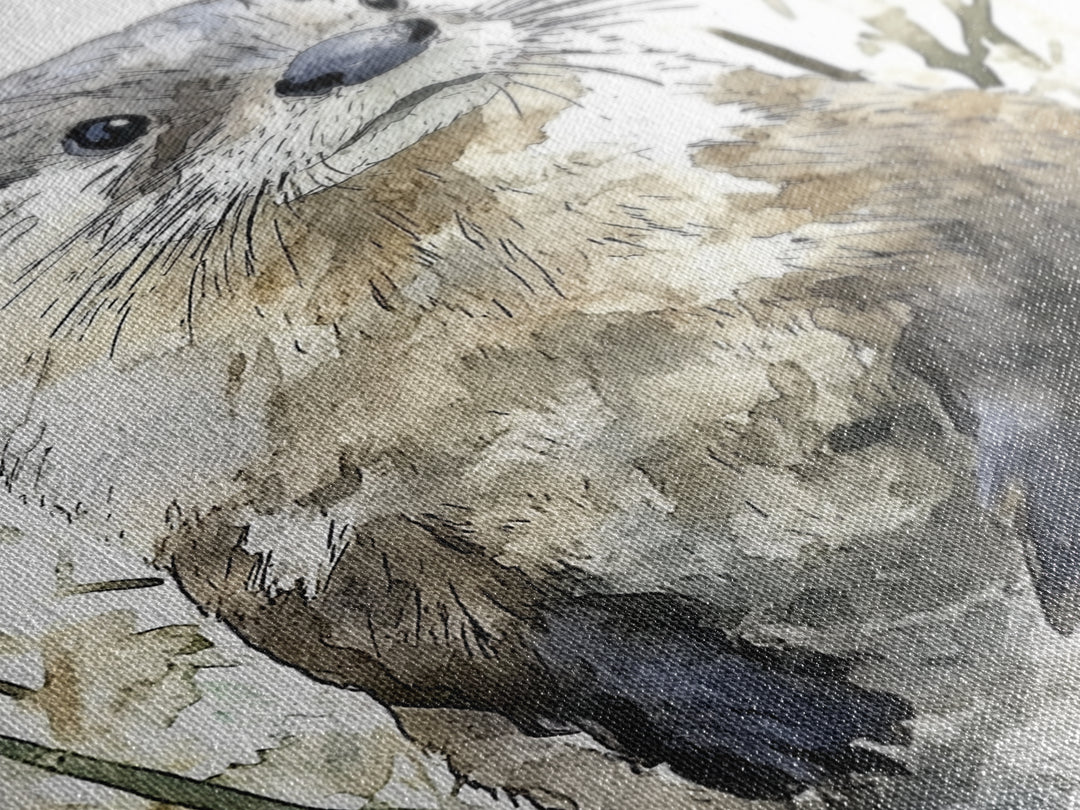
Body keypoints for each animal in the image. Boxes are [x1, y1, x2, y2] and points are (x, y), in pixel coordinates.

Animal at [1, 0, 1079, 807]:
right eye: (107, 129)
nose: (354, 51)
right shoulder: (244, 533)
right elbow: (402, 632)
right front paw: (755, 714)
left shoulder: (838, 173)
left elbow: (1006, 267)